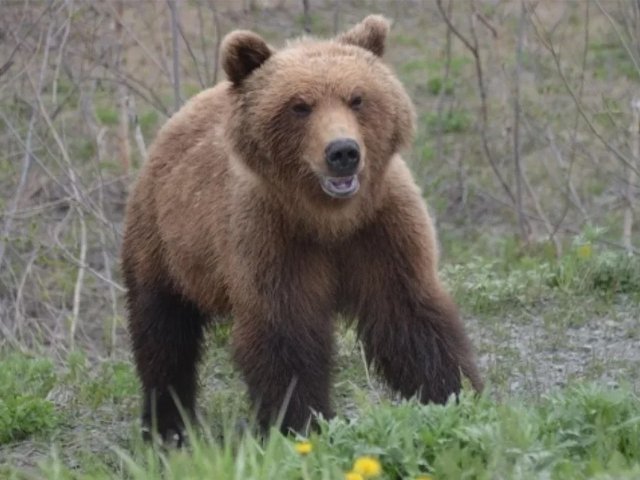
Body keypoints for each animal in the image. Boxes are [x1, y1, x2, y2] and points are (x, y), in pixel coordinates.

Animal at [121, 14, 480, 442]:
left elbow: (410, 315)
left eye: (357, 98)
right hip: (165, 240)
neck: (329, 220)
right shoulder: (272, 239)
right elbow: (285, 336)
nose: (343, 151)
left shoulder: (381, 229)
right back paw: (168, 425)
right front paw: (302, 424)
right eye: (300, 106)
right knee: (162, 331)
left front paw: (454, 394)